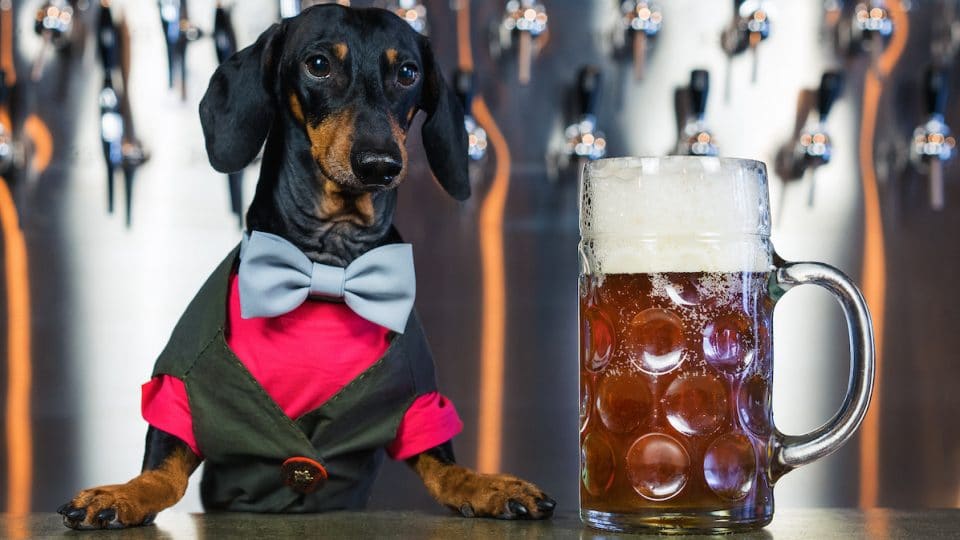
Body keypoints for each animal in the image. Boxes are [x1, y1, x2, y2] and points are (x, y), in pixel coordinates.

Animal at [58, 3, 556, 528]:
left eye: (407, 73)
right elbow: (164, 469)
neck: (329, 266)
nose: (380, 164)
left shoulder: (419, 395)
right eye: (318, 65)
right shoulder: (182, 383)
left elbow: (444, 466)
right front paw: (123, 494)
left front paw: (488, 485)